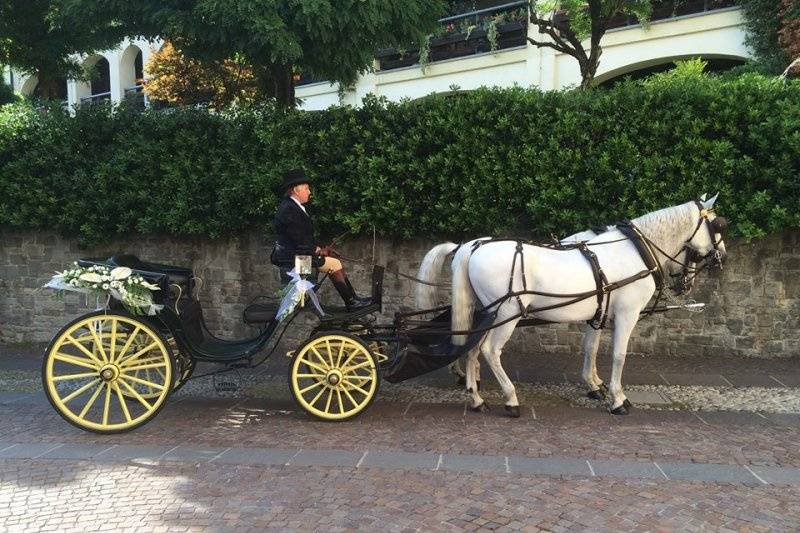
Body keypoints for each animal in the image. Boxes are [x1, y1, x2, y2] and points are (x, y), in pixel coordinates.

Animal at [418, 196, 724, 416]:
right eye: (718, 225)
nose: (721, 257)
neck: (635, 251)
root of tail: (471, 248)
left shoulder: (598, 313)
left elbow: (591, 348)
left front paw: (594, 386)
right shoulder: (627, 314)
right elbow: (619, 355)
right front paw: (617, 399)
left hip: (486, 312)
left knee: (472, 349)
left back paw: (477, 398)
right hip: (507, 313)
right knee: (490, 351)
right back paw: (510, 398)